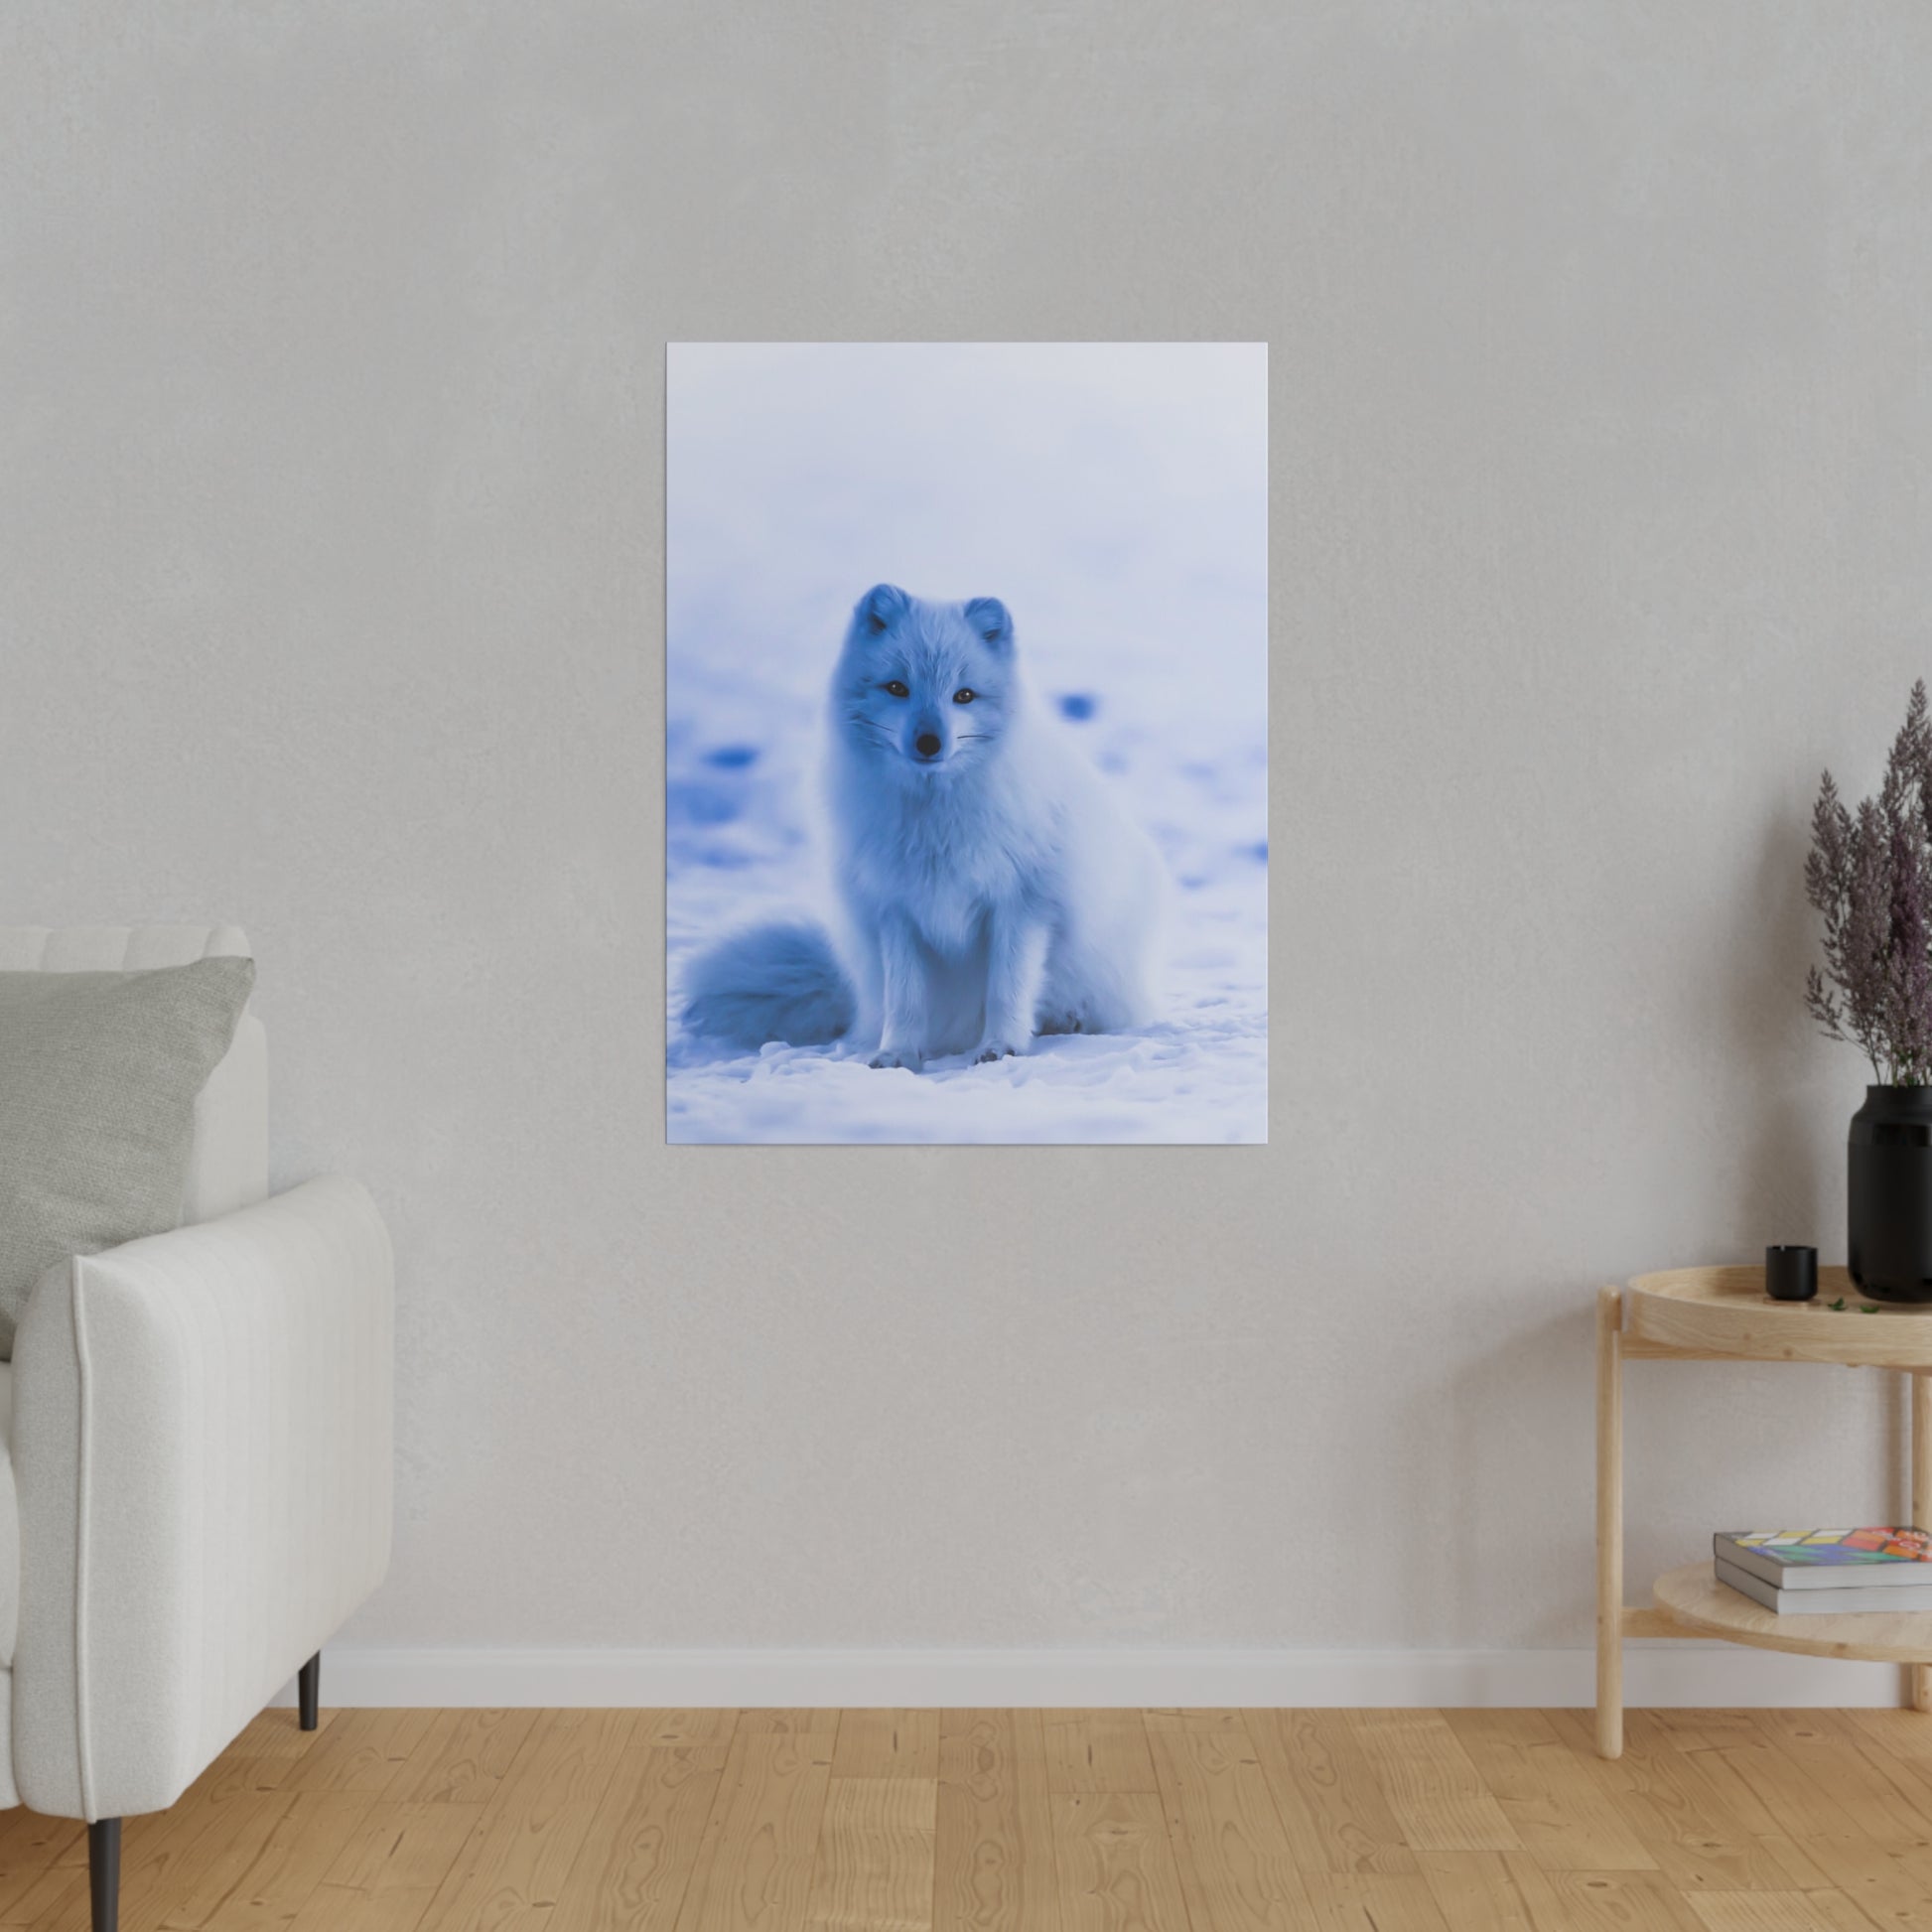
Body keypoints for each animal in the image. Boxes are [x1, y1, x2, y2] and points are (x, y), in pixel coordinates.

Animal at [679, 587, 1159, 1073]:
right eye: (897, 687)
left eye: (964, 695)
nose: (929, 742)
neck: (935, 821)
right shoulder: (896, 908)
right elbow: (906, 999)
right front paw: (898, 1054)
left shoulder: (1022, 904)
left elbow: (1007, 989)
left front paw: (1001, 1047)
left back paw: (1069, 1019)